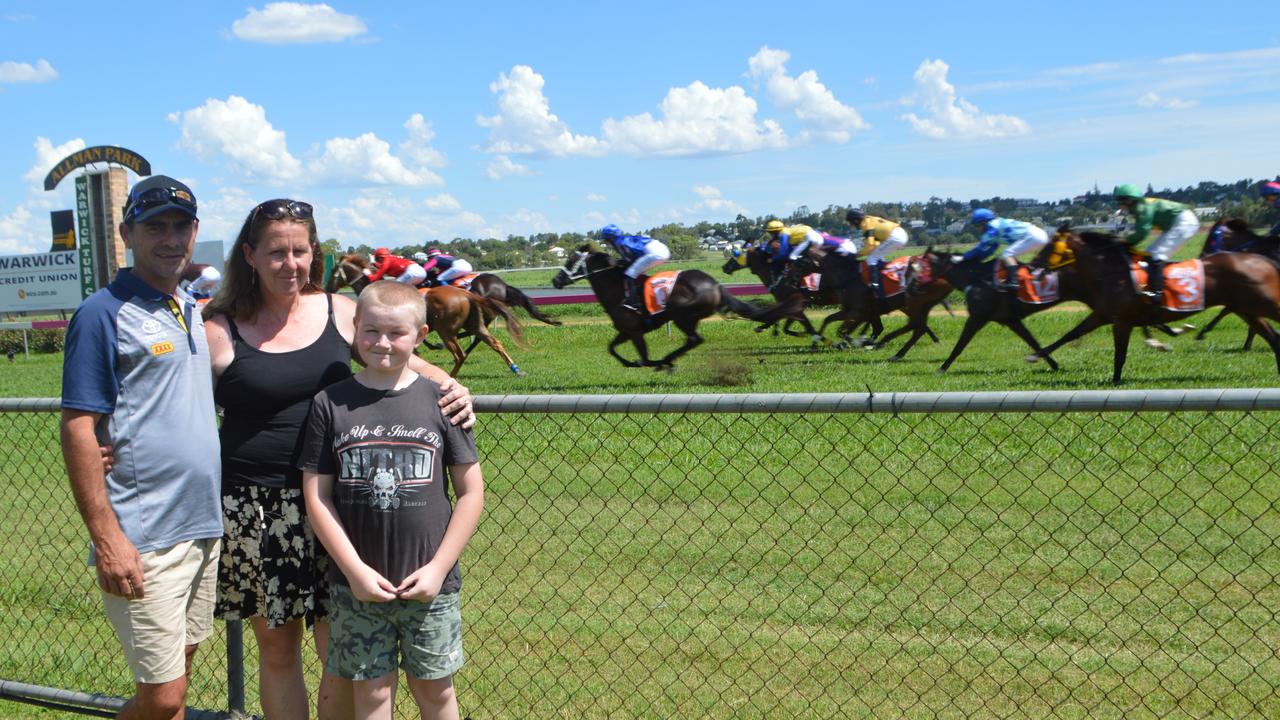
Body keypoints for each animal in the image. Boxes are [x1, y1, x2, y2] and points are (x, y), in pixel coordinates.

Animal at [330, 252, 535, 376]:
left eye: (333, 272)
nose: (328, 287)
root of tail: (468, 294)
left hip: (448, 330)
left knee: (461, 353)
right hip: (476, 323)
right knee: (493, 342)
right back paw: (516, 369)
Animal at [555, 244, 803, 368]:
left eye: (570, 261)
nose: (556, 281)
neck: (616, 287)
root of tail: (714, 284)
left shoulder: (635, 331)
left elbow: (643, 356)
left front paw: (646, 362)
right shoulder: (626, 331)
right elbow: (611, 348)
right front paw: (630, 363)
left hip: (681, 314)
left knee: (694, 339)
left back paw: (666, 360)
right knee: (694, 340)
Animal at [1024, 233, 1280, 384]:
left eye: (1049, 246)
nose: (1032, 265)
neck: (1112, 271)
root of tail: (1263, 260)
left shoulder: (1121, 320)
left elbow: (1119, 354)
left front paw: (1116, 381)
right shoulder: (1104, 315)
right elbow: (1071, 334)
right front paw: (1036, 355)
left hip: (1262, 304)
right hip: (1247, 309)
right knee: (1273, 337)